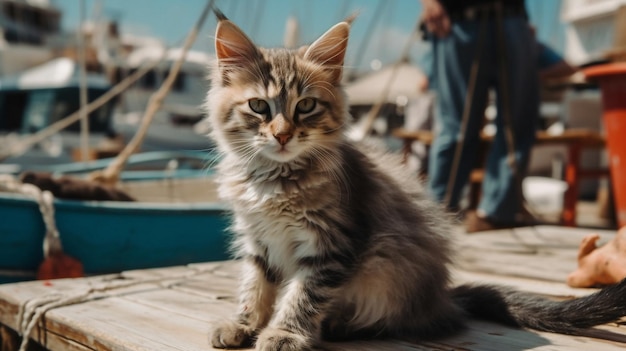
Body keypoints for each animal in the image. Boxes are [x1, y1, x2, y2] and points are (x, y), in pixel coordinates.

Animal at [205, 13, 624, 351]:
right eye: (259, 106)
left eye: (305, 106)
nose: (282, 135)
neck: (274, 180)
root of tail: (443, 296)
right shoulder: (258, 240)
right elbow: (255, 286)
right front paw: (245, 324)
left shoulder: (333, 245)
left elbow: (303, 295)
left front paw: (284, 333)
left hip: (387, 267)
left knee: (417, 321)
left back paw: (342, 326)